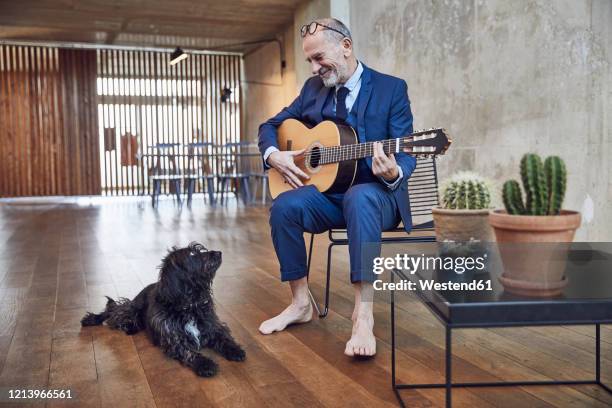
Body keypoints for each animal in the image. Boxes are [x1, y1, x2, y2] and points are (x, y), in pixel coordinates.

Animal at [80, 241, 245, 378]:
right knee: (114, 310)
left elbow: (224, 338)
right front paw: (205, 364)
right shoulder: (174, 339)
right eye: (192, 254)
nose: (219, 253)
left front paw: (235, 350)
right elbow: (189, 352)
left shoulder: (212, 326)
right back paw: (92, 319)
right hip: (131, 310)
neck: (190, 305)